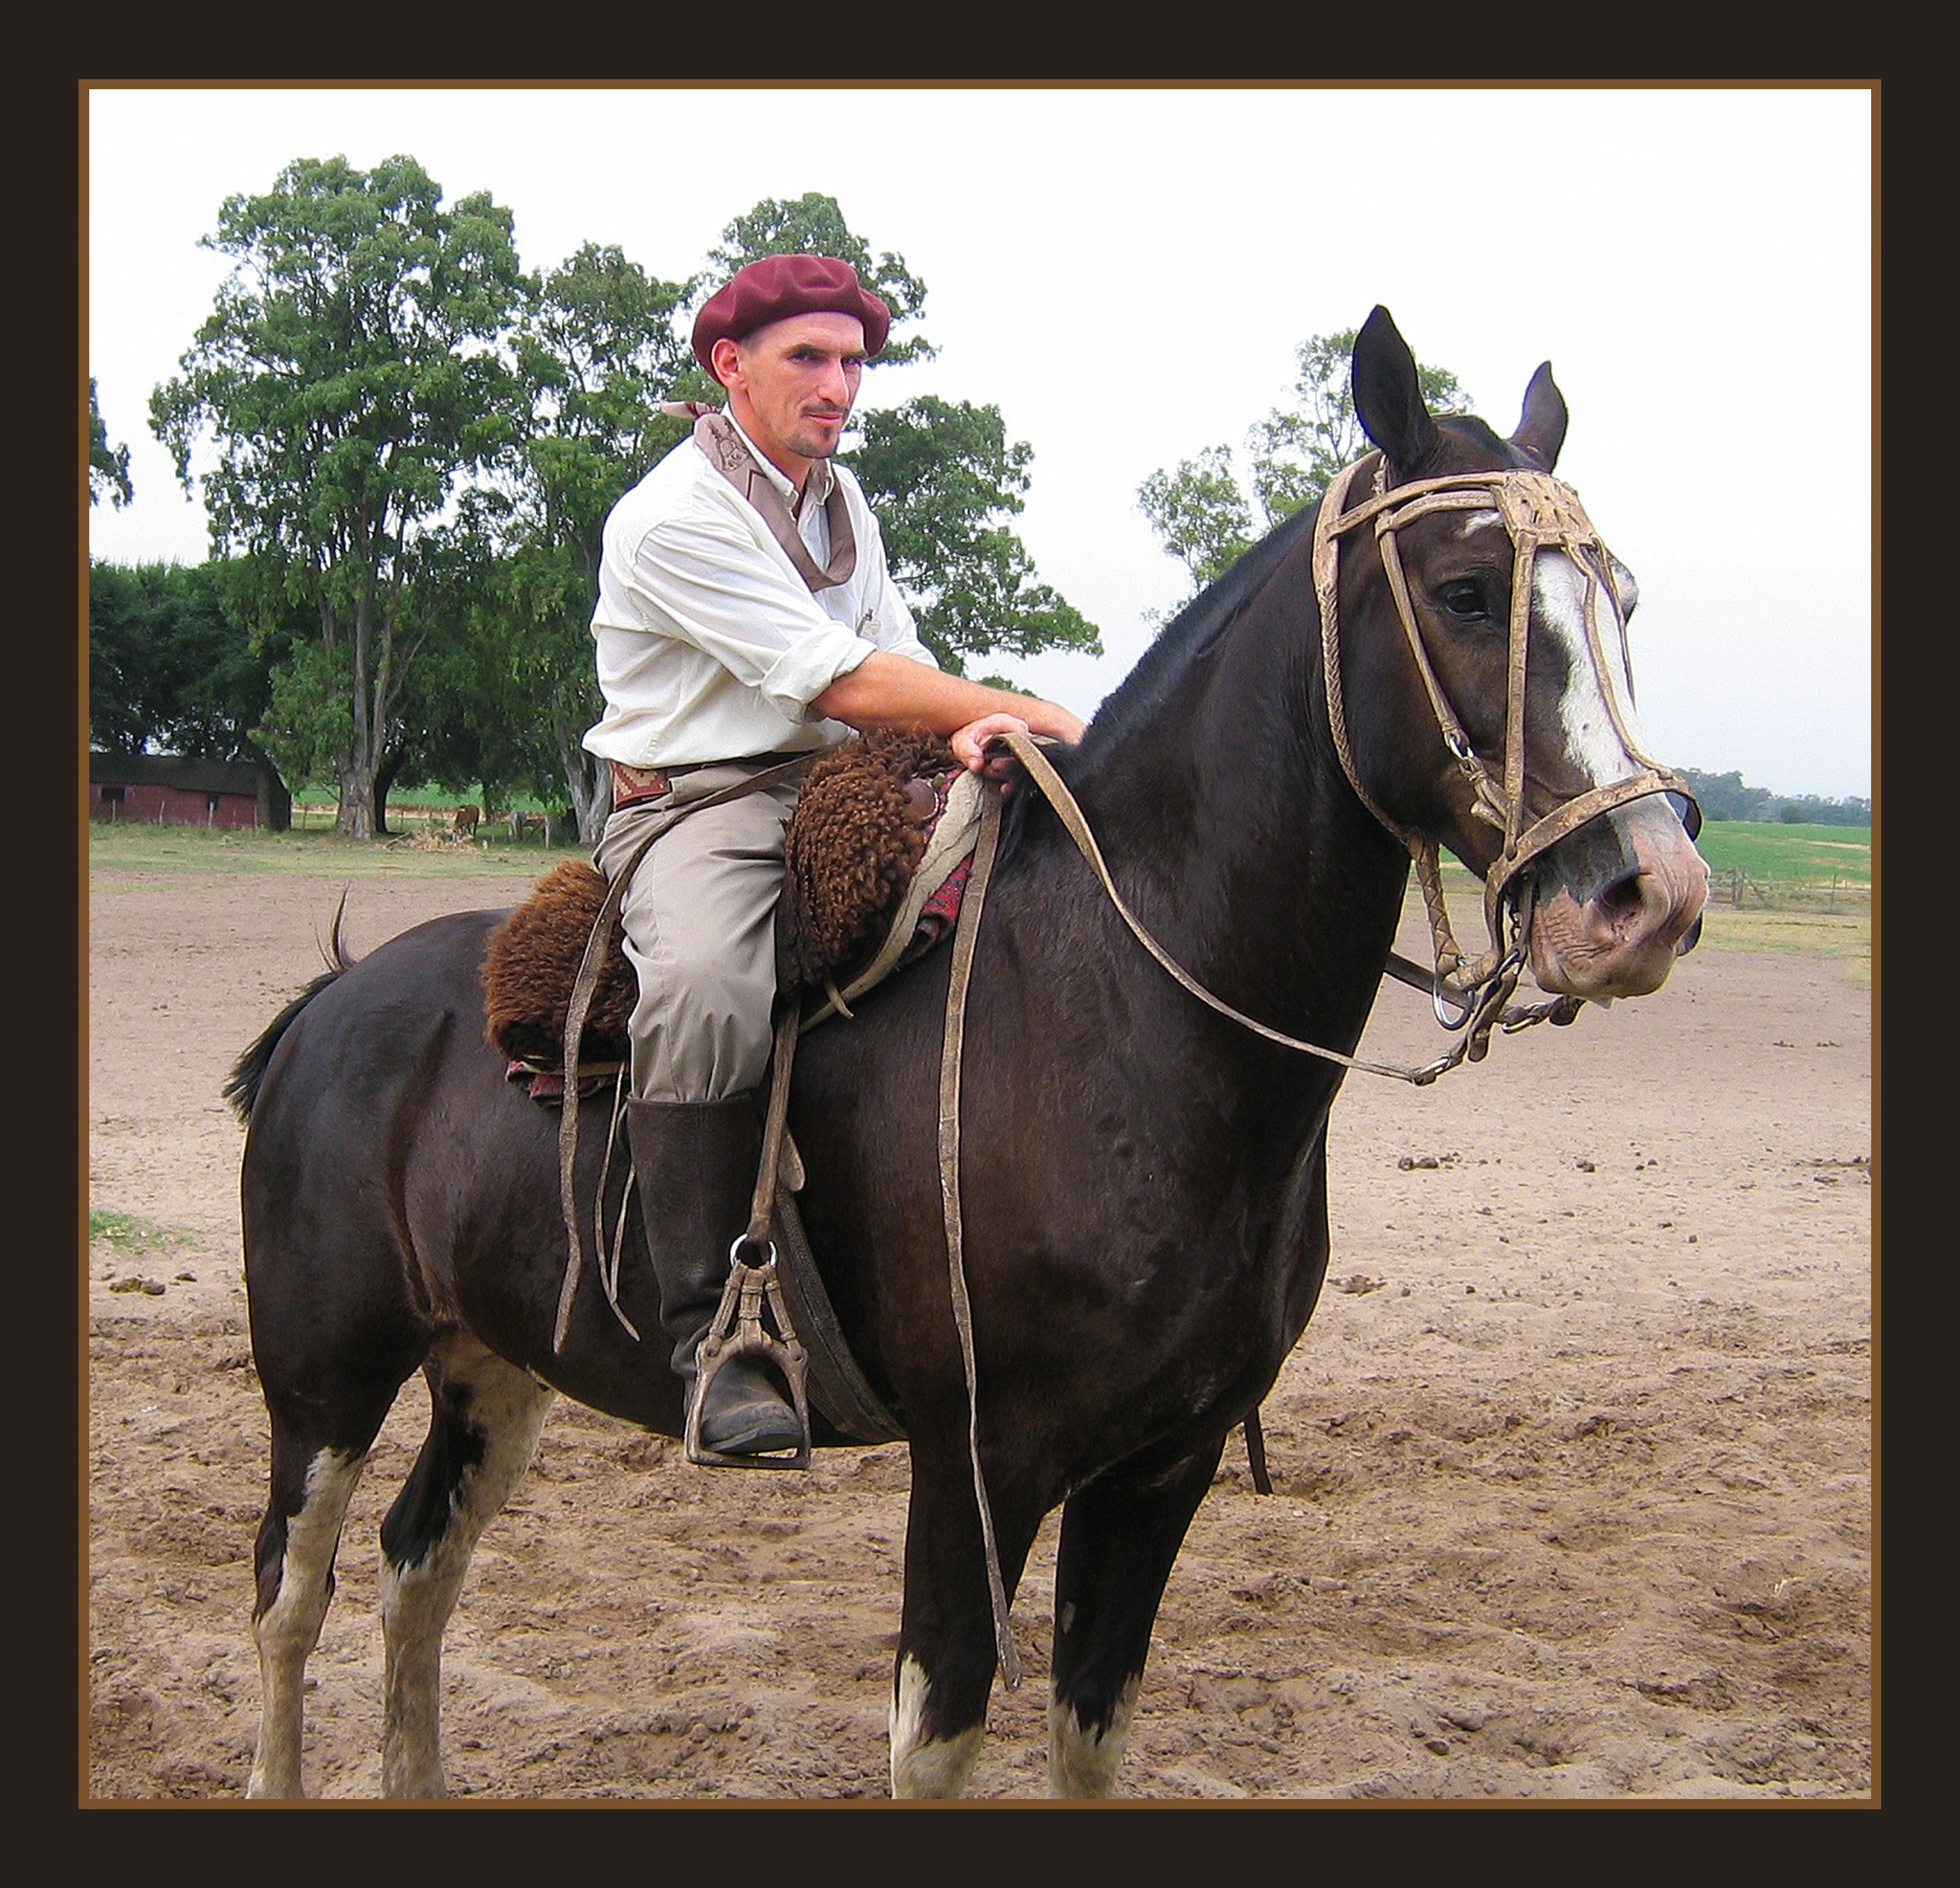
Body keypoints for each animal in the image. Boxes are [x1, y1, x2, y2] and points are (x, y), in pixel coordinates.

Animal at [225, 309, 1701, 1803]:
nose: (1648, 894)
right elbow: (936, 1741)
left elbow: (1091, 1731)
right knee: (290, 1593)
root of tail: (338, 999)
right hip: (323, 1381)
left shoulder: (1157, 1470)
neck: (1126, 1009)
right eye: (1465, 590)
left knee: (414, 1571)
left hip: (494, 1364)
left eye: (1620, 601)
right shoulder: (980, 1462)